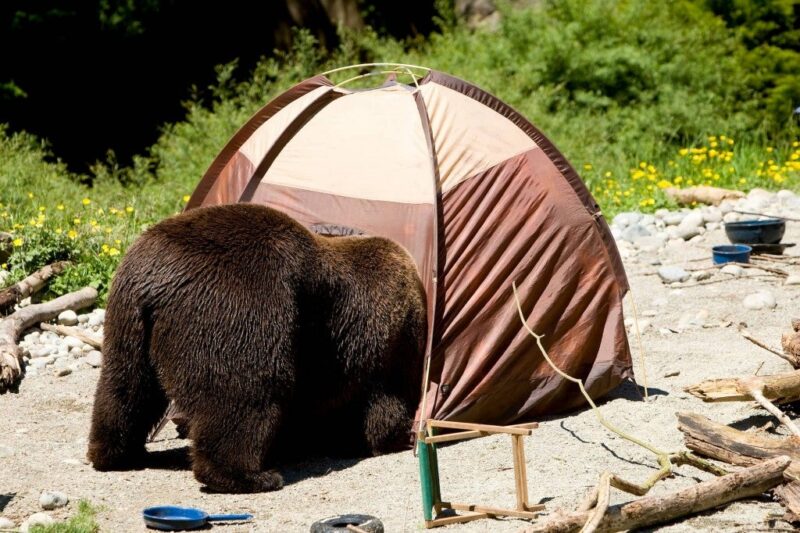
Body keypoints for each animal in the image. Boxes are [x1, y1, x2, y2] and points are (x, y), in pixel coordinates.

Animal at [87, 203, 427, 493]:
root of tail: (155, 280)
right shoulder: (377, 345)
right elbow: (382, 403)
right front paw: (391, 437)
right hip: (241, 308)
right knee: (246, 393)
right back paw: (250, 476)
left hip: (127, 322)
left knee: (125, 389)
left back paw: (115, 454)